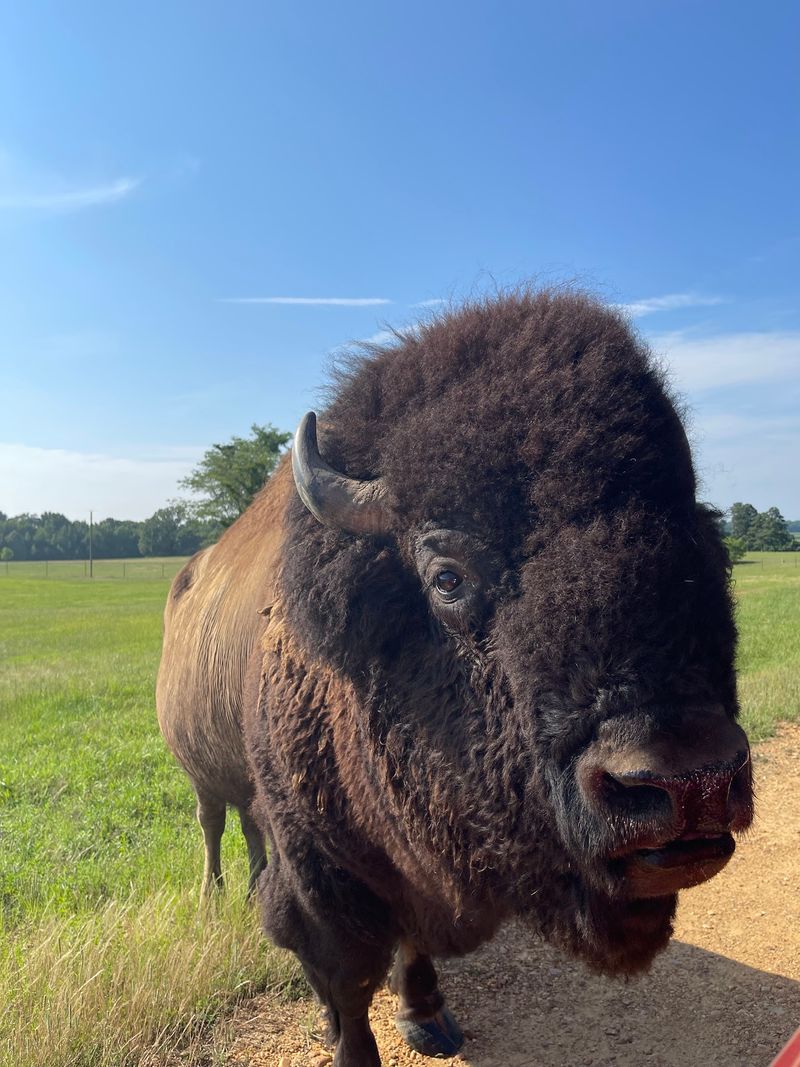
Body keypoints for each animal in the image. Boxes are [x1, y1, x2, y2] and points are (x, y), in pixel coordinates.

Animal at [157, 289, 753, 1067]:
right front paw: (348, 1040)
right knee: (215, 827)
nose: (692, 782)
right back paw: (214, 896)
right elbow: (344, 978)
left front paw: (428, 1017)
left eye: (708, 554)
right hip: (201, 772)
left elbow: (412, 946)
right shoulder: (322, 872)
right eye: (447, 576)